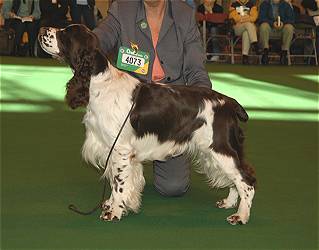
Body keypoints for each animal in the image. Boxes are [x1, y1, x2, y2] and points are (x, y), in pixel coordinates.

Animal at [38, 24, 258, 226]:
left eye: (65, 34)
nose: (41, 30)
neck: (99, 81)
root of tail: (229, 102)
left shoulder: (121, 149)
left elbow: (118, 183)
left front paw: (114, 212)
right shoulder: (111, 148)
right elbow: (114, 180)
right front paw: (110, 204)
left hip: (221, 149)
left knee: (246, 181)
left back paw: (241, 216)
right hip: (212, 152)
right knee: (234, 180)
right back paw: (229, 203)